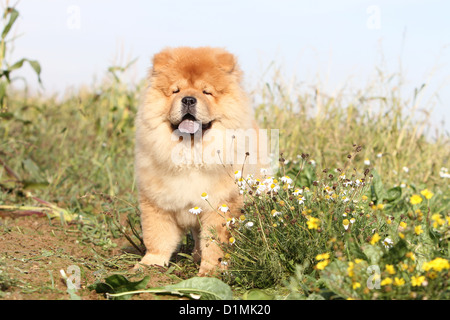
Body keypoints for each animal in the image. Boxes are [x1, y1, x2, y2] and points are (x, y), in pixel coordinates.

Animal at [134, 45, 264, 276]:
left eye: (206, 92)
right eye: (176, 91)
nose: (188, 99)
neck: (191, 153)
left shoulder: (220, 205)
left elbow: (214, 243)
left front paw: (211, 272)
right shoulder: (156, 201)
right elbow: (157, 236)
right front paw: (150, 264)